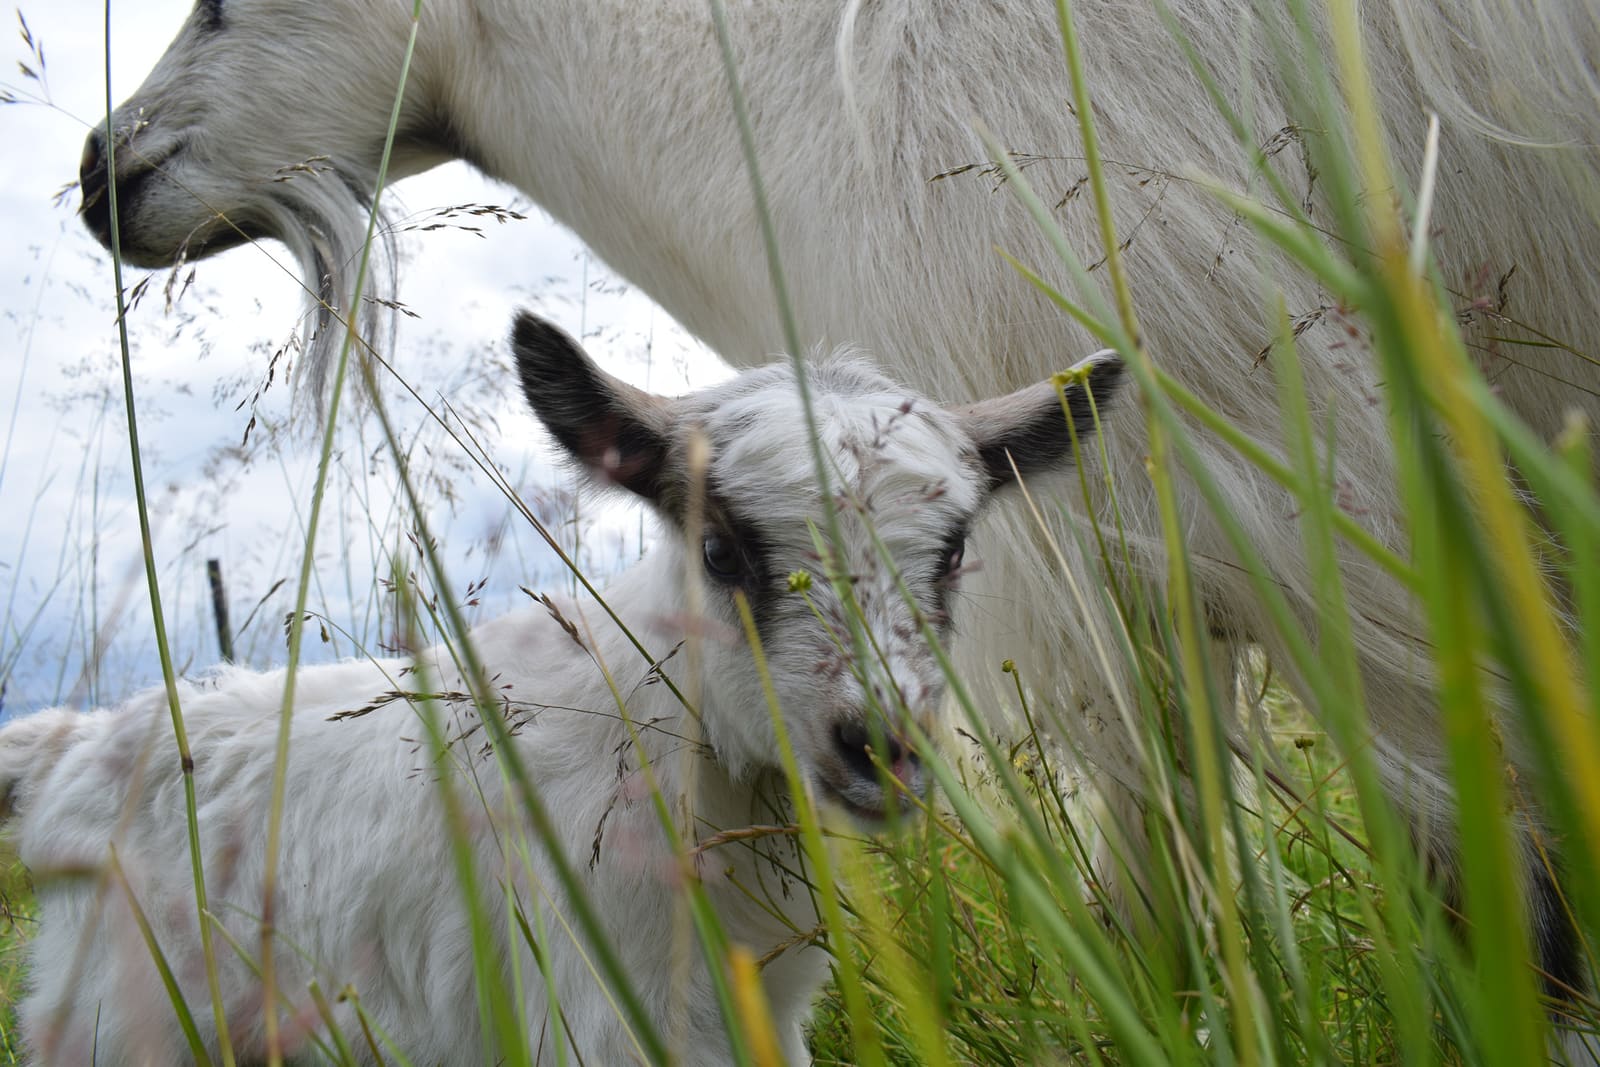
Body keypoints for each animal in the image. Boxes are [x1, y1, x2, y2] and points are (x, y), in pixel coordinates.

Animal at [0, 313, 1121, 1064]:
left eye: (954, 552)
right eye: (720, 550)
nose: (882, 745)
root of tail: (77, 745)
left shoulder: (761, 999)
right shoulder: (603, 999)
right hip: (116, 1016)